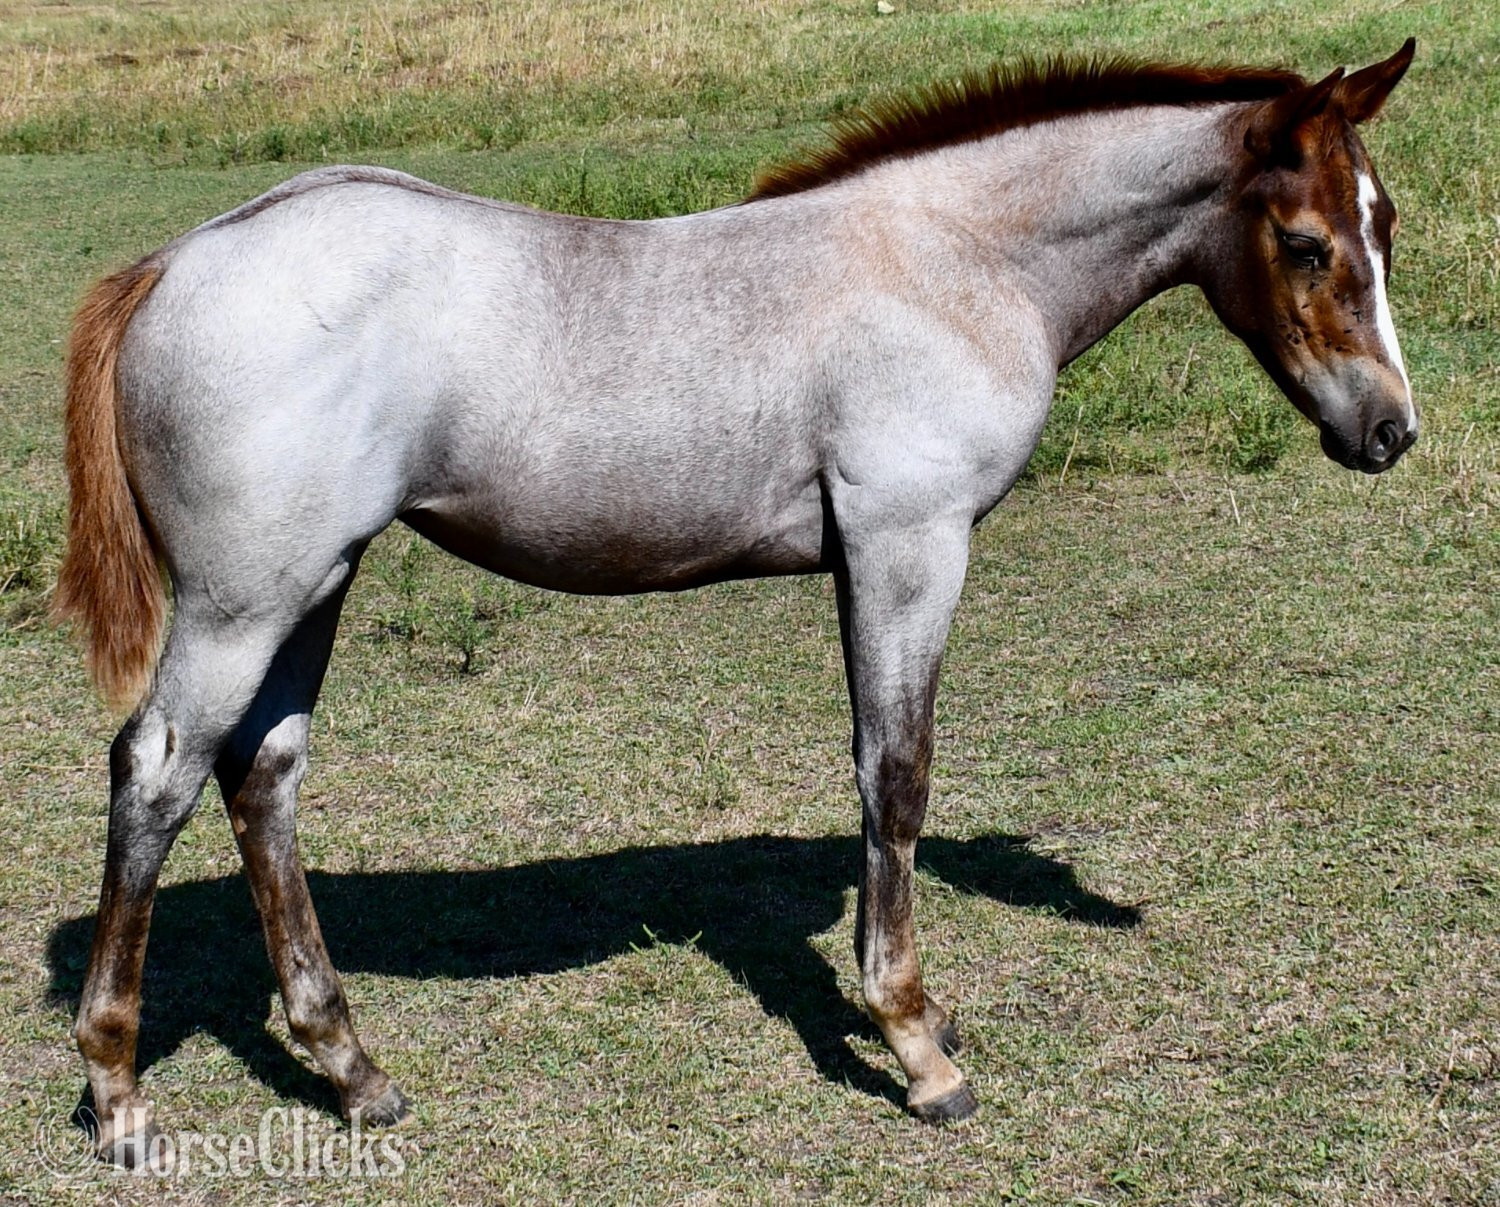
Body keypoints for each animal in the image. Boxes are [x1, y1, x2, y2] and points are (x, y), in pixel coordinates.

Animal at [54, 41, 1417, 1164]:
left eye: (1384, 225)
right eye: (1306, 242)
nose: (1391, 430)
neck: (950, 261)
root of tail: (176, 261)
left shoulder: (871, 557)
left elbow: (877, 776)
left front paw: (922, 1015)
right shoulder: (907, 544)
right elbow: (897, 774)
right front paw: (915, 1045)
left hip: (316, 582)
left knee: (263, 776)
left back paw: (352, 1069)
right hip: (243, 600)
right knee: (160, 771)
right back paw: (121, 1093)